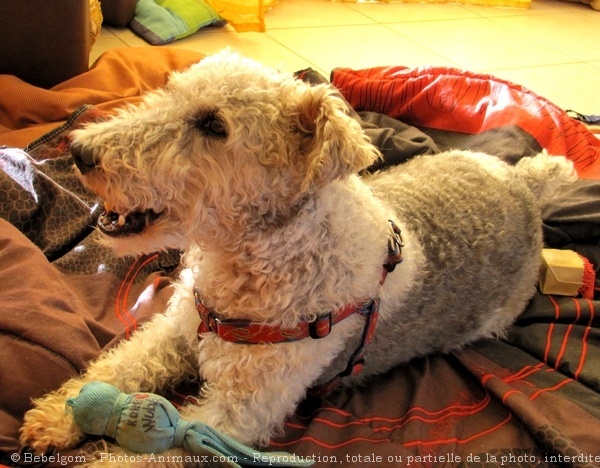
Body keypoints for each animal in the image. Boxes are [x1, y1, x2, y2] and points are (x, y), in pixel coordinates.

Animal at [21, 50, 576, 460]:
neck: (253, 263)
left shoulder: (237, 412)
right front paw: (54, 416)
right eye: (170, 89)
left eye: (213, 125)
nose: (80, 152)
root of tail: (522, 181)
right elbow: (115, 368)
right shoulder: (175, 330)